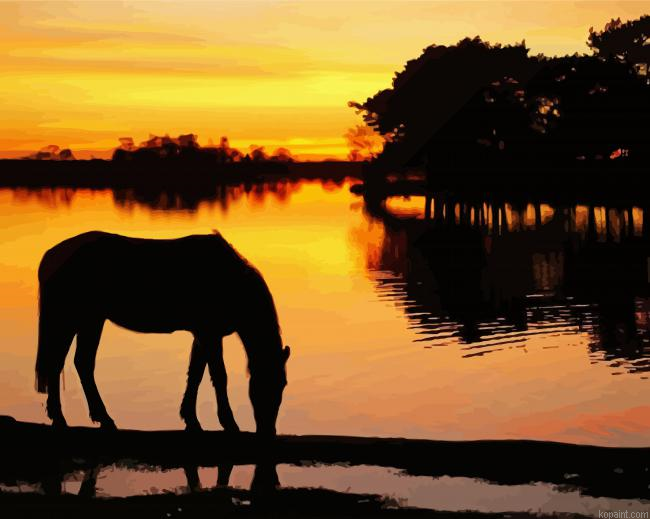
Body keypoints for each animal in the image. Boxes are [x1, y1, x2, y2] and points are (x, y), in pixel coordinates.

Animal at [35, 231, 290, 436]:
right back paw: (65, 418)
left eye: (283, 384)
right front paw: (229, 423)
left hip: (90, 319)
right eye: (266, 382)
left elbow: (195, 374)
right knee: (60, 363)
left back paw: (98, 419)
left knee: (80, 363)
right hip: (72, 318)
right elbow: (219, 376)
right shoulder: (209, 334)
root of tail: (51, 256)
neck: (230, 279)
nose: (268, 431)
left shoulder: (202, 334)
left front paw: (191, 420)